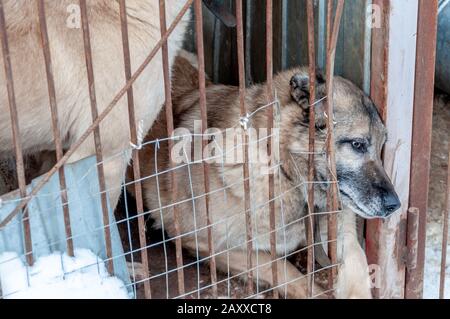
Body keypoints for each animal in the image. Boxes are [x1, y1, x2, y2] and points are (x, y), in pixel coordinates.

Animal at [129, 52, 400, 300]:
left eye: (381, 145)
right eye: (357, 145)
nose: (395, 206)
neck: (285, 173)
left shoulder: (343, 238)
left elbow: (359, 270)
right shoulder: (213, 245)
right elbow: (285, 271)